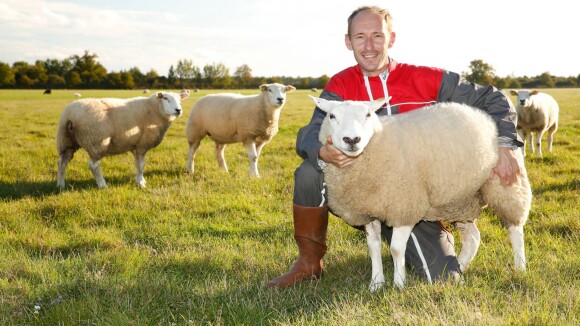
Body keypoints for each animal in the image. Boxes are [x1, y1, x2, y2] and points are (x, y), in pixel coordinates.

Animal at [56, 91, 189, 188]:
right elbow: (141, 165)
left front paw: (140, 180)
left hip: (66, 140)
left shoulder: (135, 145)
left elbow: (138, 164)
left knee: (62, 161)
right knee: (93, 165)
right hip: (96, 141)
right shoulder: (141, 144)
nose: (178, 110)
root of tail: (71, 115)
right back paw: (102, 185)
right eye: (166, 98)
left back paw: (60, 184)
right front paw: (141, 182)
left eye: (180, 99)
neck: (154, 109)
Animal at [310, 95, 532, 290]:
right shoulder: (367, 212)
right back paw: (459, 267)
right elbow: (373, 248)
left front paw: (399, 284)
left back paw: (519, 267)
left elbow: (396, 249)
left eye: (368, 114)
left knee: (515, 229)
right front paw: (376, 284)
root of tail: (482, 115)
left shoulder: (405, 206)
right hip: (461, 199)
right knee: (473, 238)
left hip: (506, 186)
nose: (352, 139)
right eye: (331, 116)